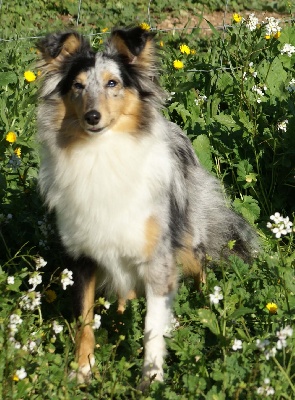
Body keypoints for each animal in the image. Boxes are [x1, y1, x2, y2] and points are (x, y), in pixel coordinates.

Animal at [37, 25, 260, 388]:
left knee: (200, 264)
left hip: (188, 233)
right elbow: (84, 319)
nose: (92, 117)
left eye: (113, 83)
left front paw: (151, 378)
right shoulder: (83, 256)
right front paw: (82, 371)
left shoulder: (157, 256)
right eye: (77, 86)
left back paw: (205, 307)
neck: (101, 154)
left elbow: (152, 326)